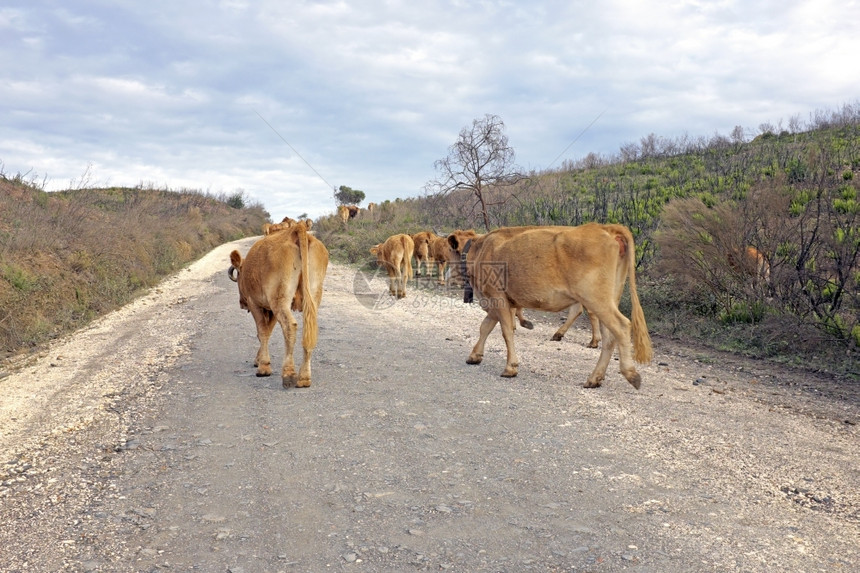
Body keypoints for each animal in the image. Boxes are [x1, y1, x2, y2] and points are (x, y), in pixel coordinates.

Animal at [227, 219, 328, 388]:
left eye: (239, 274)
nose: (242, 302)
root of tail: (296, 229)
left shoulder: (256, 303)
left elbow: (262, 331)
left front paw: (263, 367)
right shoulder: (271, 307)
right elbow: (267, 331)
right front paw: (259, 359)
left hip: (280, 299)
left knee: (290, 326)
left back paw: (288, 373)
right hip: (312, 293)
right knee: (310, 329)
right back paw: (304, 377)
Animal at [450, 223, 652, 388]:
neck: (480, 249)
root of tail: (605, 228)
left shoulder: (496, 297)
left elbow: (505, 331)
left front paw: (510, 367)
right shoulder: (497, 302)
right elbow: (485, 326)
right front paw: (474, 356)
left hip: (596, 299)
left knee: (621, 326)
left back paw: (630, 374)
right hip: (609, 298)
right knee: (609, 336)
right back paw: (594, 378)